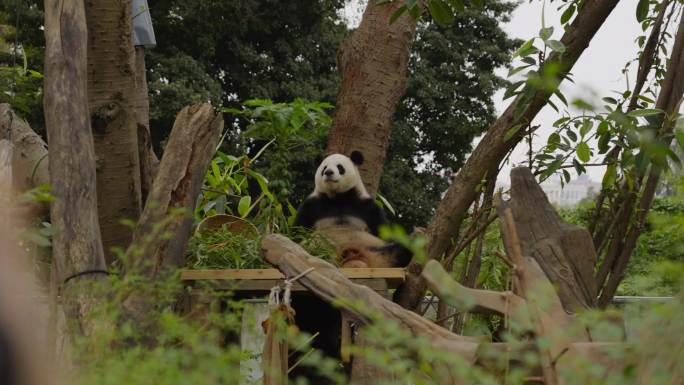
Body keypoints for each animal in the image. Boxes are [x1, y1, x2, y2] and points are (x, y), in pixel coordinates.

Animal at [288, 152, 412, 382]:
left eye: (339, 167)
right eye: (324, 167)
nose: (329, 173)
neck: (338, 198)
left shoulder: (367, 207)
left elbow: (382, 231)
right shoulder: (311, 206)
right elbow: (296, 233)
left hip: (374, 255)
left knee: (391, 251)